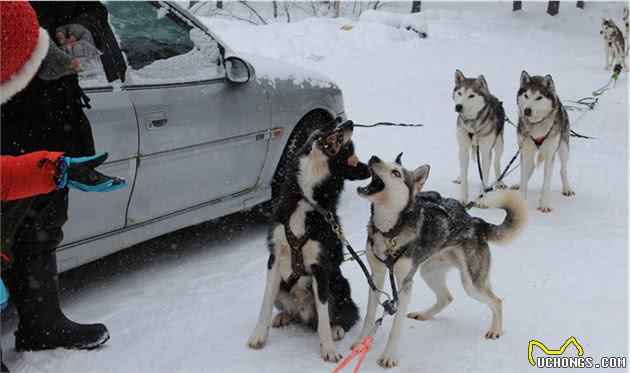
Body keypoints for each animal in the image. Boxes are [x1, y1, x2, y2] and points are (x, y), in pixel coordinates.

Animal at [249, 119, 372, 360]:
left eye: (347, 150)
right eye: (331, 126)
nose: (348, 122)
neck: (306, 200)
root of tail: (305, 314)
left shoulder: (320, 267)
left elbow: (324, 317)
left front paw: (328, 349)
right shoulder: (274, 259)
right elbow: (265, 304)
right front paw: (259, 336)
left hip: (339, 286)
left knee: (346, 314)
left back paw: (336, 329)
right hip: (283, 288)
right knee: (291, 311)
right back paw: (284, 316)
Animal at [356, 154, 528, 366]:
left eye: (396, 172)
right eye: (383, 159)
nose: (374, 158)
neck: (389, 232)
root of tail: (475, 221)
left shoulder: (405, 284)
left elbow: (396, 328)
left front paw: (389, 356)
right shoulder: (377, 276)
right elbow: (369, 315)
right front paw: (359, 342)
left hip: (471, 284)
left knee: (497, 301)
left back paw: (495, 330)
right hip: (428, 271)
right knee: (447, 297)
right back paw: (424, 314)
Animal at [454, 70, 508, 203]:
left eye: (471, 95)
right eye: (460, 93)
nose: (458, 106)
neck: (473, 124)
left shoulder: (485, 151)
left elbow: (484, 175)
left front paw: (481, 199)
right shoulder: (463, 148)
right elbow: (464, 173)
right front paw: (463, 198)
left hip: (499, 144)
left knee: (496, 162)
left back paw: (500, 182)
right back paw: (459, 177)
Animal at [516, 72, 576, 212]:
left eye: (539, 97)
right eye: (526, 95)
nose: (527, 110)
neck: (536, 125)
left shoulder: (550, 155)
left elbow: (546, 182)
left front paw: (544, 204)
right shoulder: (525, 151)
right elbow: (523, 178)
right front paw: (521, 200)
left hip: (563, 148)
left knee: (563, 169)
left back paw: (567, 188)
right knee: (530, 167)